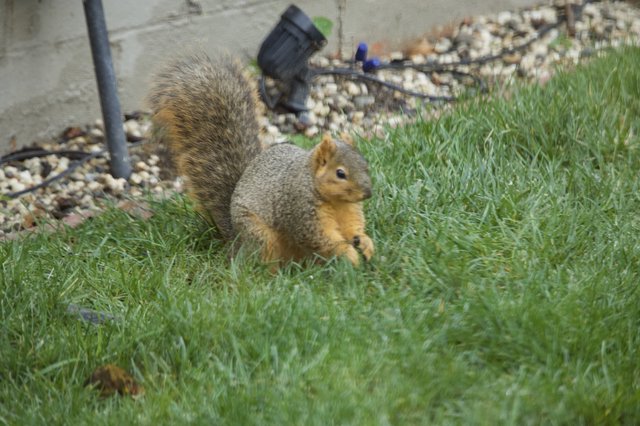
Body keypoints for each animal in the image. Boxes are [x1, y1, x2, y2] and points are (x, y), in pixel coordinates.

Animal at [147, 53, 374, 267]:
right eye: (340, 173)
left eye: (365, 164)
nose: (368, 193)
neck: (334, 200)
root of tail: (236, 242)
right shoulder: (300, 210)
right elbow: (321, 238)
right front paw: (349, 254)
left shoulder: (348, 210)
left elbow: (353, 227)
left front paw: (365, 243)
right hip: (261, 236)